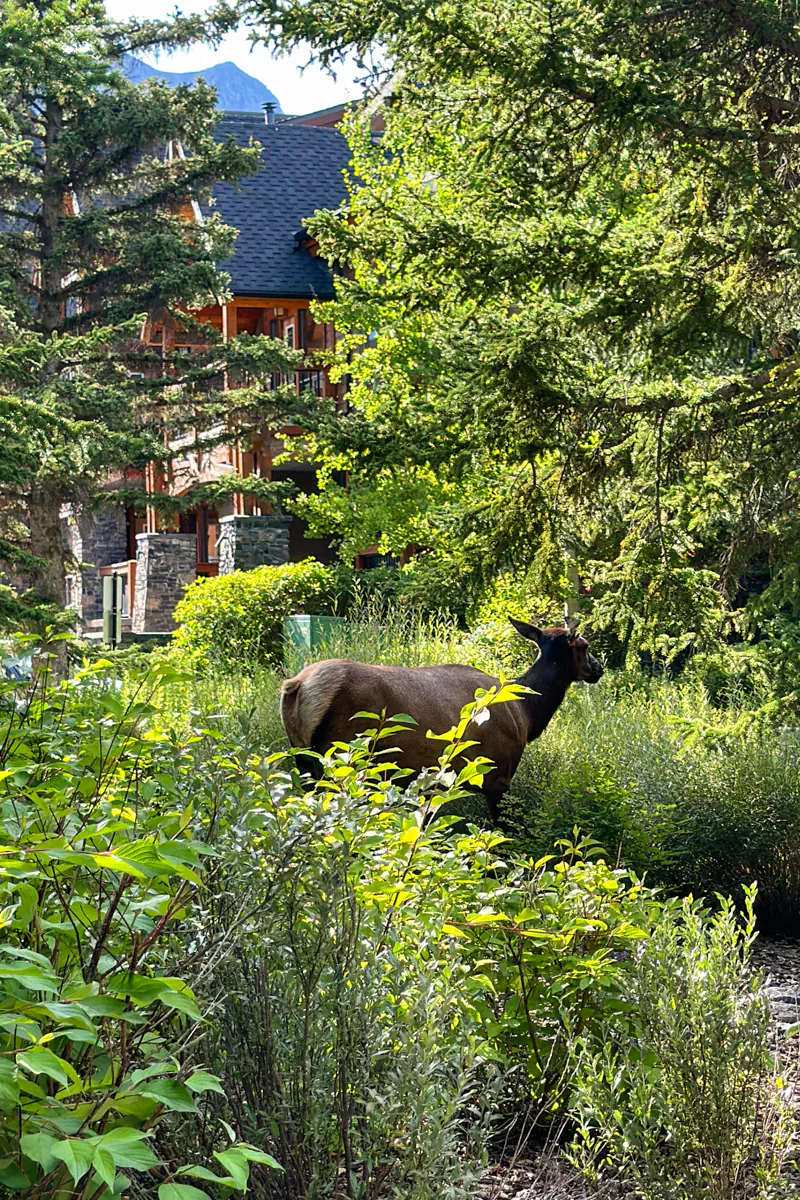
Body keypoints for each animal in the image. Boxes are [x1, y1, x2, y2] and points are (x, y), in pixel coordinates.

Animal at [279, 618, 603, 823]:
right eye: (585, 646)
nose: (598, 668)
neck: (527, 713)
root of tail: (297, 687)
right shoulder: (498, 775)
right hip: (344, 759)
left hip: (304, 761)